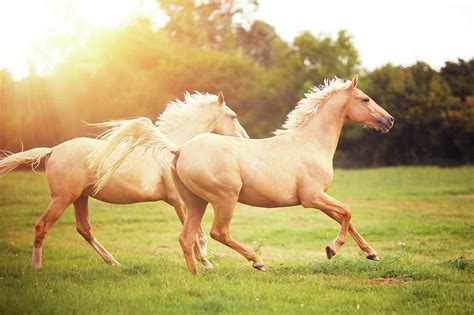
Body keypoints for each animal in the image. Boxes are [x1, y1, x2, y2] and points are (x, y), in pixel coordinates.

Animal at [0, 91, 250, 270]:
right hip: (63, 198)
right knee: (43, 225)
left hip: (80, 198)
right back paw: (37, 267)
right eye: (233, 116)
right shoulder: (180, 201)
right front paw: (206, 263)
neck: (173, 149)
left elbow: (196, 233)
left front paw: (205, 261)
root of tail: (52, 151)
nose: (246, 139)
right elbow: (196, 234)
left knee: (84, 229)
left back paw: (113, 262)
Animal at [167, 76, 392, 274]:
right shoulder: (312, 198)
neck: (311, 143)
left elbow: (345, 218)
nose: (390, 120)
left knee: (186, 238)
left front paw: (372, 253)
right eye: (365, 99)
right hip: (225, 199)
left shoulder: (319, 198)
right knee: (218, 232)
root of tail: (180, 150)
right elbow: (347, 211)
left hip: (196, 202)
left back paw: (197, 274)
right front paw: (332, 249)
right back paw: (257, 262)